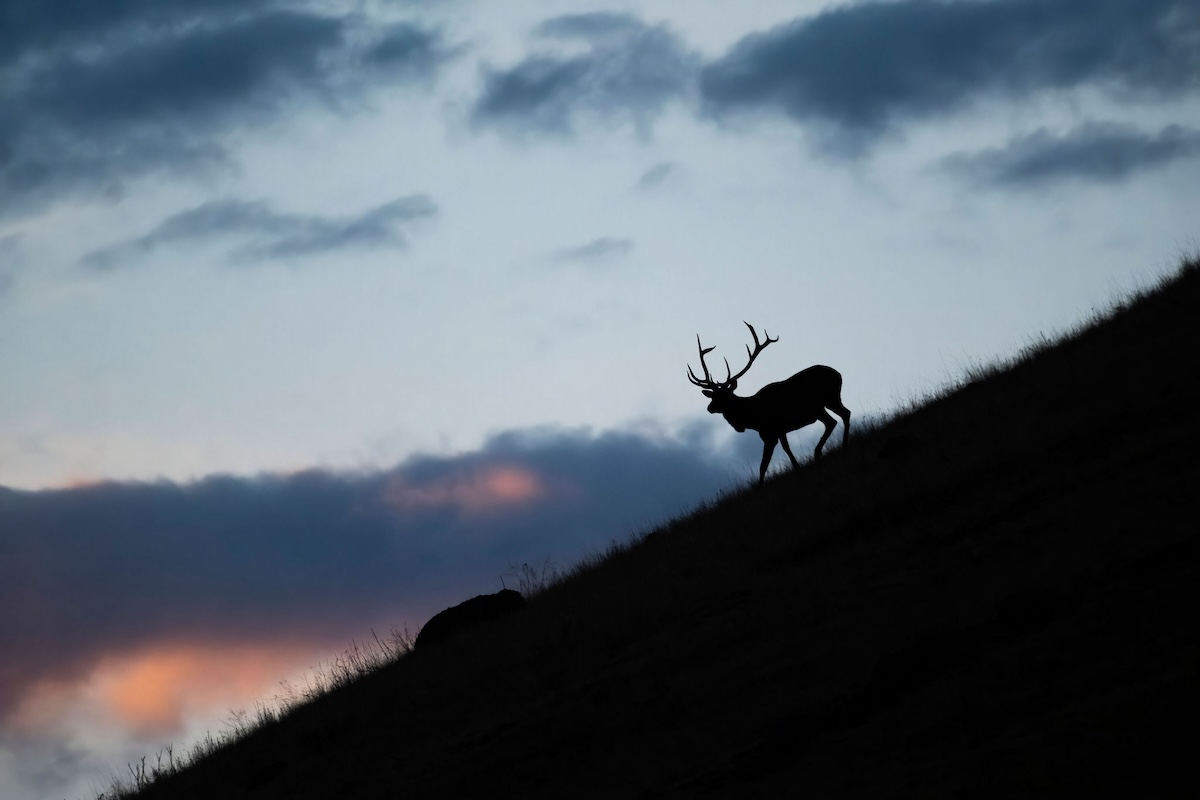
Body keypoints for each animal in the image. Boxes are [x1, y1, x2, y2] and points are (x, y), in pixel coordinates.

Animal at [687, 322, 850, 488]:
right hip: (830, 400)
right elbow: (786, 450)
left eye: (724, 396)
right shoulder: (778, 431)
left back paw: (820, 452)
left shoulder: (771, 432)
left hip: (821, 404)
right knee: (844, 414)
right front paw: (797, 468)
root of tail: (838, 374)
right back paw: (840, 446)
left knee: (833, 421)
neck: (752, 418)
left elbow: (763, 465)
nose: (709, 408)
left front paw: (760, 487)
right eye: (713, 396)